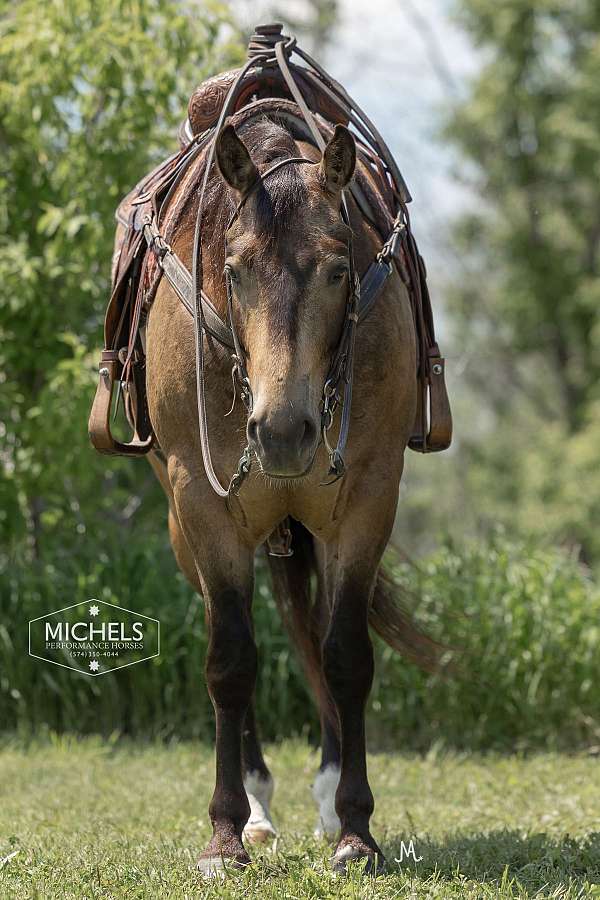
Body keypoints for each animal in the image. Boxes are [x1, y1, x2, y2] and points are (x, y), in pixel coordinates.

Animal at [90, 24, 450, 876]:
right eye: (232, 267)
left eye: (342, 267)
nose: (282, 432)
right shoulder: (202, 505)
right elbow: (230, 659)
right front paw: (226, 830)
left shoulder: (368, 499)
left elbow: (345, 653)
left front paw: (354, 827)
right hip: (187, 527)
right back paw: (255, 809)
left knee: (314, 634)